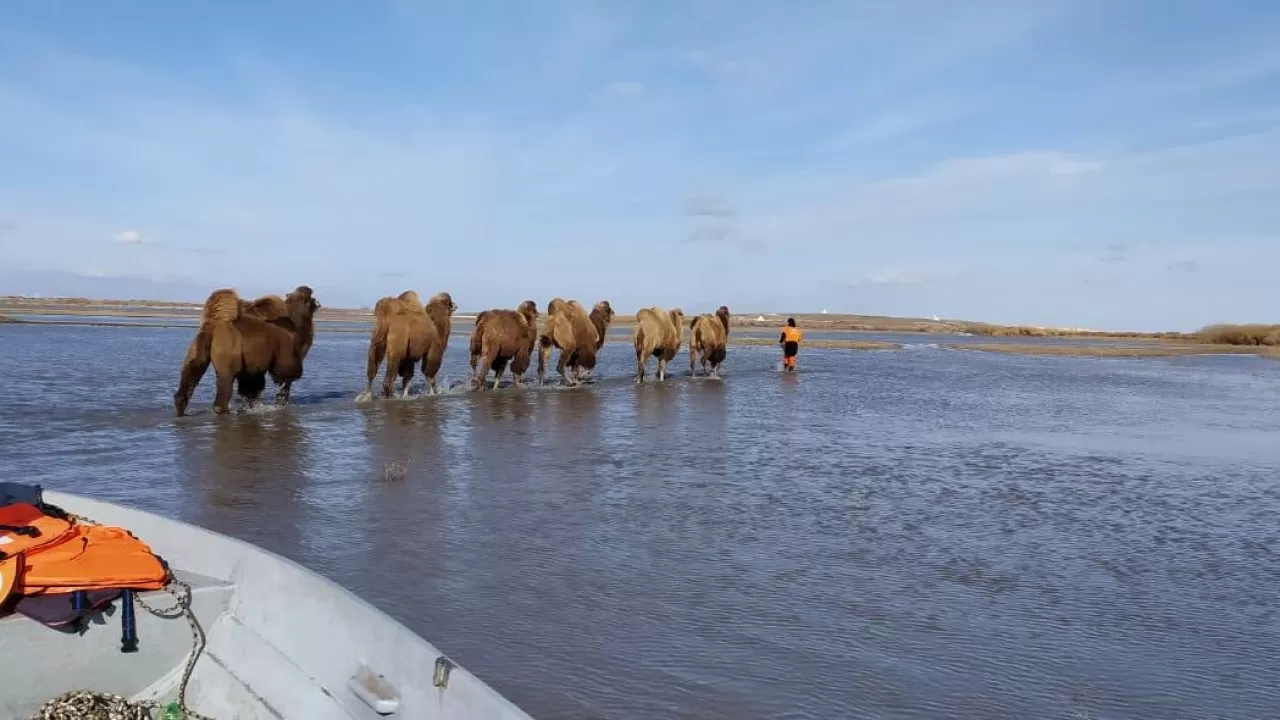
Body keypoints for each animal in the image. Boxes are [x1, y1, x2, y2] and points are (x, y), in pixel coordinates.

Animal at [174, 283, 322, 412]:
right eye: (312, 297)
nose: (319, 303)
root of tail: (213, 327)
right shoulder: (284, 348)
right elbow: (285, 373)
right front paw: (280, 399)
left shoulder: (253, 363)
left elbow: (252, 387)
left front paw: (253, 405)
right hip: (228, 352)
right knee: (224, 383)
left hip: (199, 348)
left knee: (190, 374)